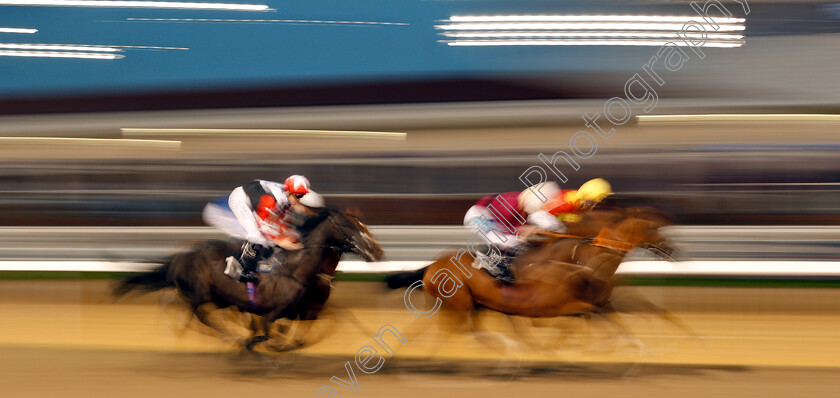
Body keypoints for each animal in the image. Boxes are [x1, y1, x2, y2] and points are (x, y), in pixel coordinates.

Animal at [114, 207, 384, 350]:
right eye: (350, 226)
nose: (377, 251)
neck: (295, 268)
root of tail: (180, 255)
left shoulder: (302, 311)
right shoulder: (272, 312)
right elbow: (265, 334)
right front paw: (253, 344)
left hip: (213, 296)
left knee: (192, 314)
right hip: (200, 291)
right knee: (198, 314)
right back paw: (225, 336)